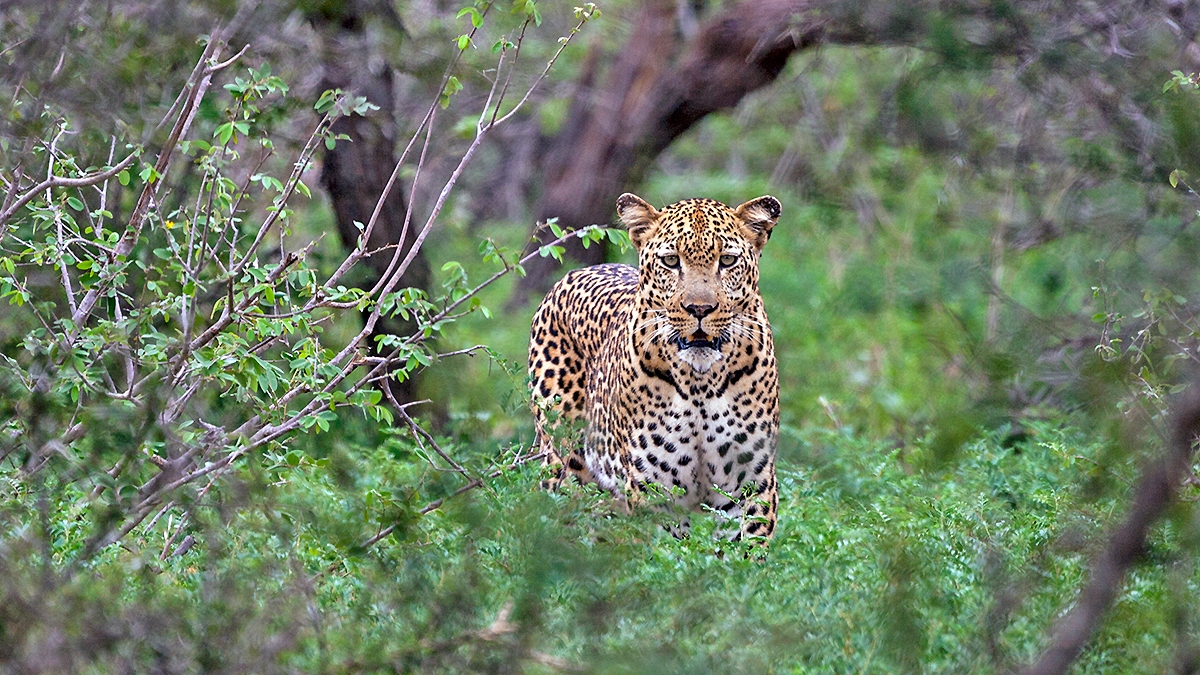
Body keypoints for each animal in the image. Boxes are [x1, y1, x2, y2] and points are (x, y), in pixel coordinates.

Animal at [528, 192, 782, 540]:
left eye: (728, 261)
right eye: (671, 261)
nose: (699, 309)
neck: (701, 382)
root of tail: (576, 272)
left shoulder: (750, 484)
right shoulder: (655, 490)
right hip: (566, 469)